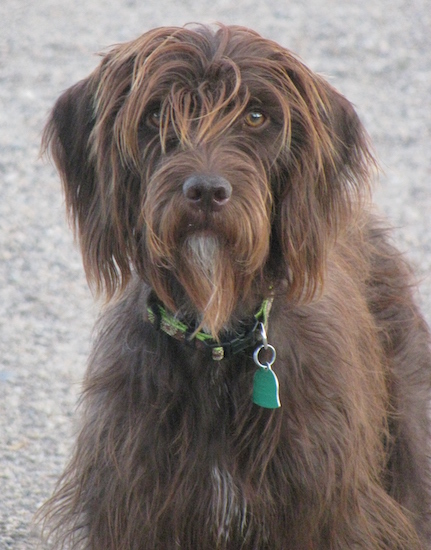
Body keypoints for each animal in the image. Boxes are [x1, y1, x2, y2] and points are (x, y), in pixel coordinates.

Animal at [41, 23, 431, 548]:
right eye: (156, 114)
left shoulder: (325, 510)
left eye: (256, 115)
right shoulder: (136, 505)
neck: (216, 340)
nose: (207, 191)